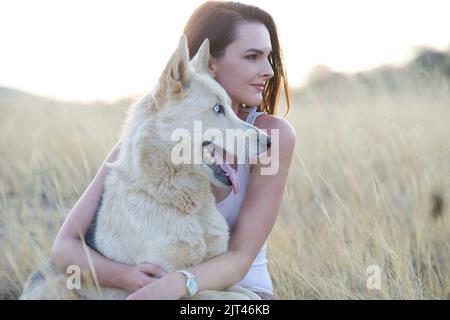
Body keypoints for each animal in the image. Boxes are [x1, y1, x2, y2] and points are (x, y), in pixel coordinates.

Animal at [20, 35, 270, 300]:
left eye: (230, 107)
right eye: (217, 108)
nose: (269, 141)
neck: (180, 203)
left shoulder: (214, 273)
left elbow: (246, 293)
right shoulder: (165, 282)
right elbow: (229, 295)